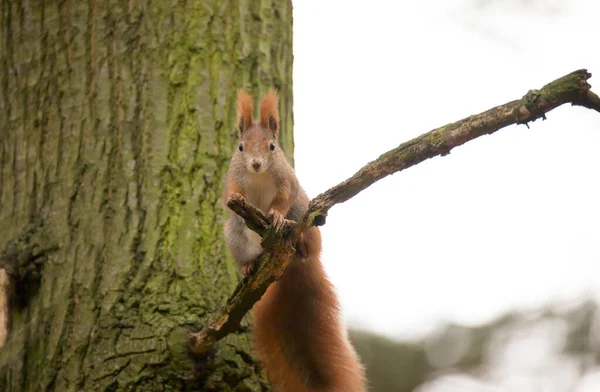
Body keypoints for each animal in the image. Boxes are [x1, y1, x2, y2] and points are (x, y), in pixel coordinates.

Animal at [223, 90, 368, 390]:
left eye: (272, 146)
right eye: (241, 147)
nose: (256, 164)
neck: (258, 176)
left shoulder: (286, 181)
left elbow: (282, 198)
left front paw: (277, 216)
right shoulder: (234, 177)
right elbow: (233, 192)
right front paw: (239, 199)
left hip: (304, 216)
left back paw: (300, 245)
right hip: (234, 235)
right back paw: (248, 266)